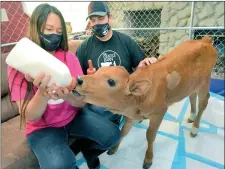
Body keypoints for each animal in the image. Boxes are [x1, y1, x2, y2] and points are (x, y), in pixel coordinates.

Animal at [75, 36, 216, 168]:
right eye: (97, 71)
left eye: (111, 81)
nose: (79, 80)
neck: (140, 98)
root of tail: (205, 40)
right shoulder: (131, 115)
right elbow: (124, 131)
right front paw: (114, 148)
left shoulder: (159, 112)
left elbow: (150, 135)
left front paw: (148, 159)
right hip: (192, 84)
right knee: (192, 96)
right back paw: (191, 116)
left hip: (205, 82)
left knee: (204, 102)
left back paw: (195, 128)